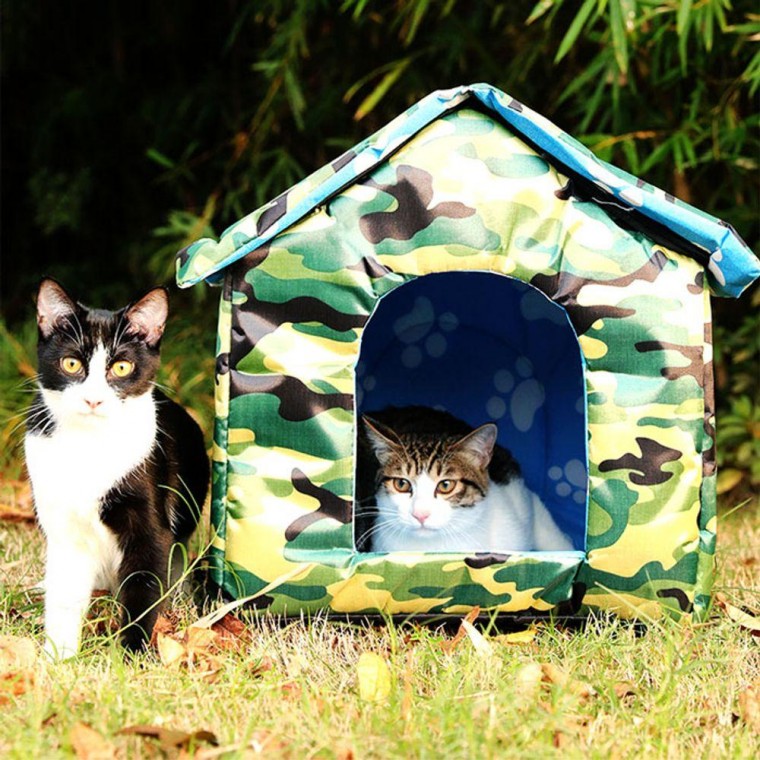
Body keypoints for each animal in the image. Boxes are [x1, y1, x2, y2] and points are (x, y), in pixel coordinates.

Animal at [24, 280, 208, 660]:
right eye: (71, 363)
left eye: (121, 368)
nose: (93, 399)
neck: (90, 444)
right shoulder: (63, 529)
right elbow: (64, 594)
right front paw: (58, 657)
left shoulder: (150, 522)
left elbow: (144, 581)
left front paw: (133, 654)